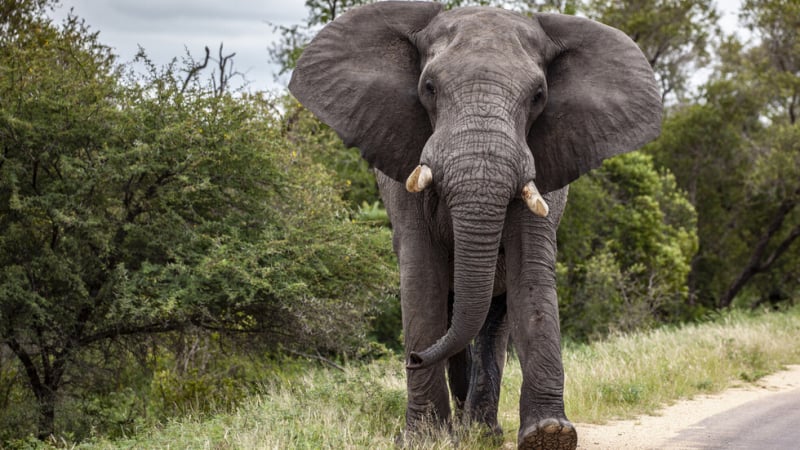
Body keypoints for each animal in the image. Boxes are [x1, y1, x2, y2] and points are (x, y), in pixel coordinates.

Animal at [288, 1, 664, 448]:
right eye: (429, 87)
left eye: (538, 96)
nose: (412, 358)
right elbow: (422, 277)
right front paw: (424, 438)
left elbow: (530, 274)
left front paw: (549, 435)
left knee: (492, 321)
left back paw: (482, 431)